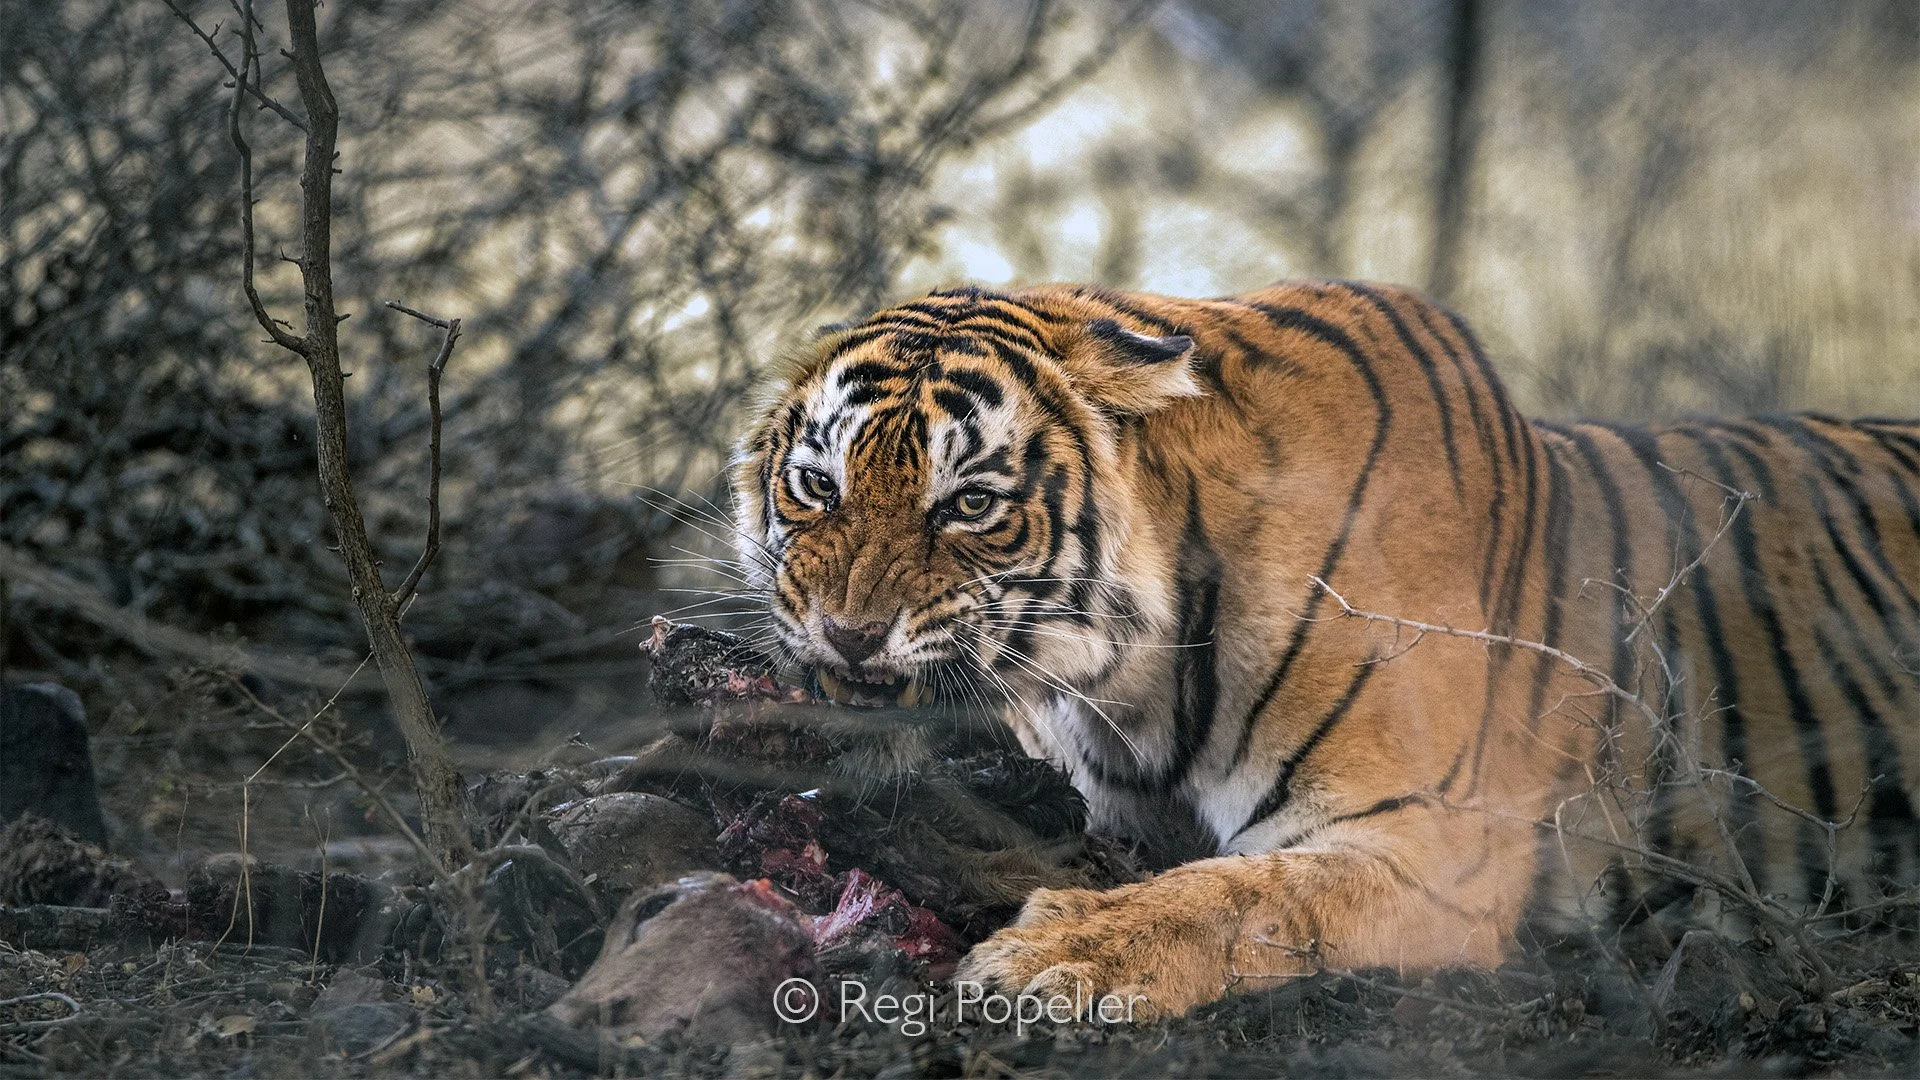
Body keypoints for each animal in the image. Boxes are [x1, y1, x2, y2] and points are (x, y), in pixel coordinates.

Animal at [729, 278, 1920, 1016]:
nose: (847, 633)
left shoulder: (1430, 838)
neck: (1124, 683)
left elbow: (1245, 900)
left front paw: (1056, 953)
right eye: (817, 484)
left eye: (970, 504)